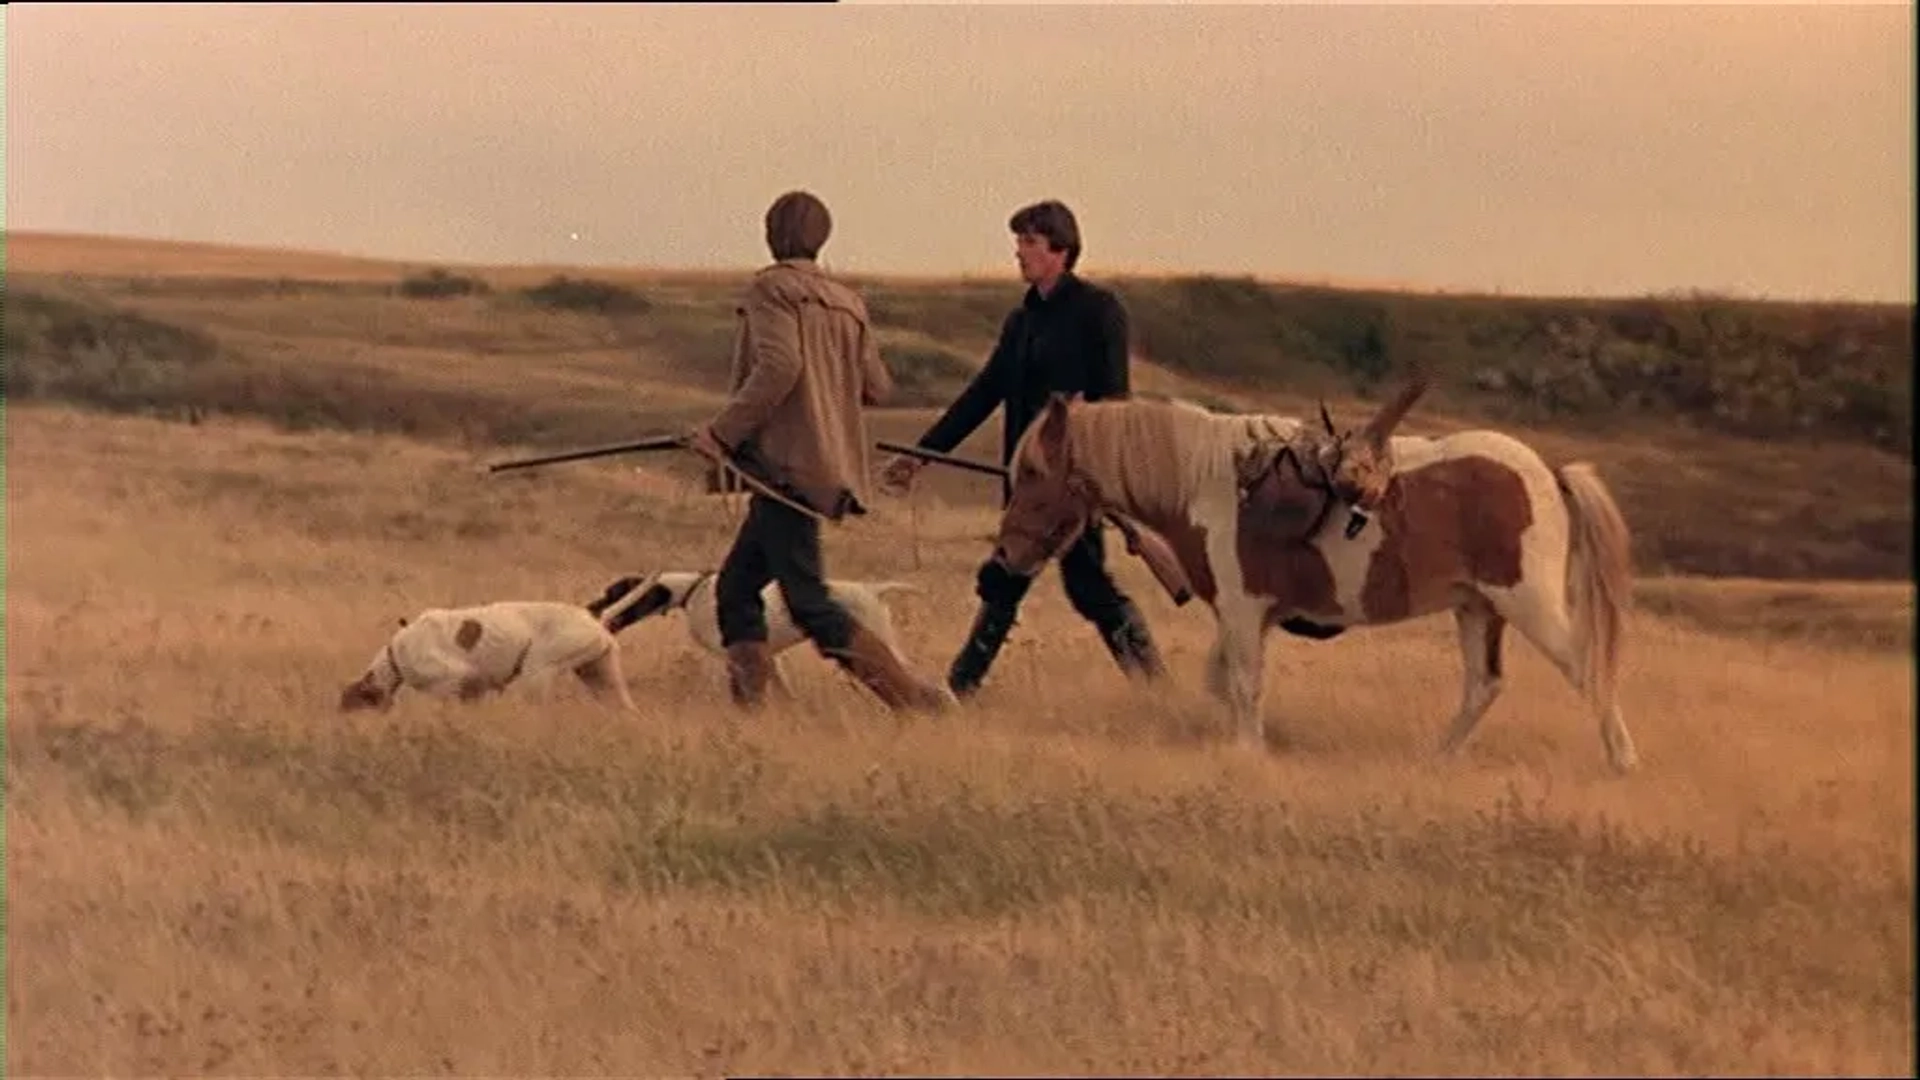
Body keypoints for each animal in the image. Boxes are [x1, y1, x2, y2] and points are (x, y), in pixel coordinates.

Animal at [341, 595, 641, 714]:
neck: (396, 656)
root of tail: (594, 618)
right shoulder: (473, 693)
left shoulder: (450, 682)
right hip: (602, 676)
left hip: (535, 673)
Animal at [591, 568, 929, 691]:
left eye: (612, 593)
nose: (593, 608)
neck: (694, 590)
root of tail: (872, 590)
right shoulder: (767, 656)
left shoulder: (731, 654)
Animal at [990, 374, 1635, 768]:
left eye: (1033, 473)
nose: (1007, 556)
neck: (1211, 486)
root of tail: (1548, 473)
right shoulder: (1250, 617)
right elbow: (1223, 682)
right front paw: (1242, 739)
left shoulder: (1243, 610)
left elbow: (1244, 683)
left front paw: (1248, 751)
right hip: (1477, 608)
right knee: (1484, 684)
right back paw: (1438, 757)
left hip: (1527, 604)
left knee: (1586, 668)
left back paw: (1621, 759)